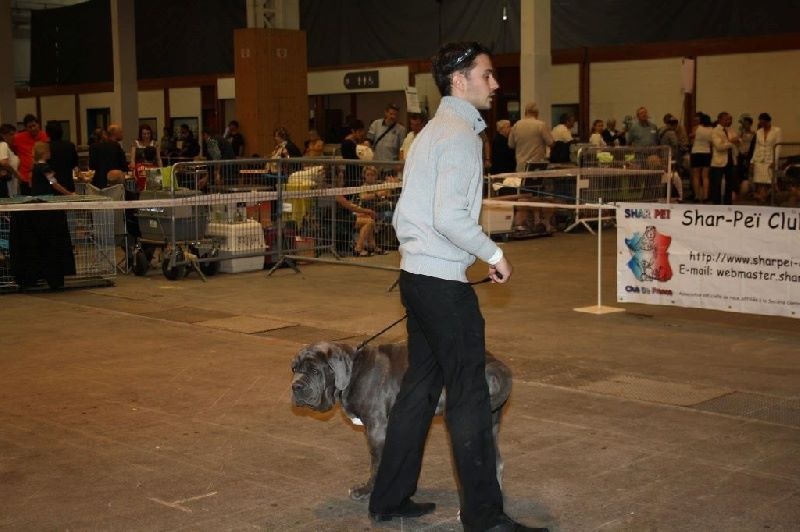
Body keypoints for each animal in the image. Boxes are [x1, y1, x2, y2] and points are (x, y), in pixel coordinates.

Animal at [291, 341, 512, 501]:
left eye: (315, 371)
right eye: (294, 369)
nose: (295, 387)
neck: (353, 372)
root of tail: (495, 364)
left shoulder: (376, 430)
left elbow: (376, 464)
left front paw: (367, 491)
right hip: (490, 427)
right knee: (496, 462)